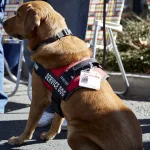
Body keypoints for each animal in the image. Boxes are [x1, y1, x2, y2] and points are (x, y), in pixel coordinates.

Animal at [2, 0, 142, 149]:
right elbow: (56, 120)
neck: (53, 38)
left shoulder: (39, 98)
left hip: (74, 134)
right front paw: (49, 135)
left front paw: (19, 140)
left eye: (17, 14)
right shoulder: (58, 97)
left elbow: (30, 124)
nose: (3, 22)